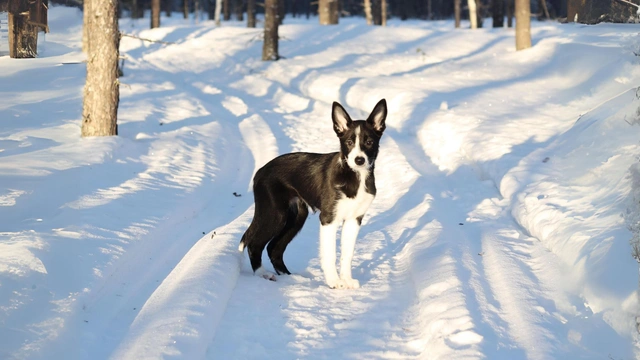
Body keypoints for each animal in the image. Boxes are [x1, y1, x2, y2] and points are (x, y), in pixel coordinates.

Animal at [236, 99, 382, 290]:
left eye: (370, 142)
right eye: (349, 142)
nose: (359, 160)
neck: (355, 176)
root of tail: (260, 171)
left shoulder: (354, 219)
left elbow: (347, 254)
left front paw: (347, 280)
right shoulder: (328, 218)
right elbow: (330, 253)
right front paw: (334, 282)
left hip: (297, 216)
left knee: (274, 248)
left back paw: (290, 278)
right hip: (275, 214)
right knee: (255, 244)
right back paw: (263, 274)